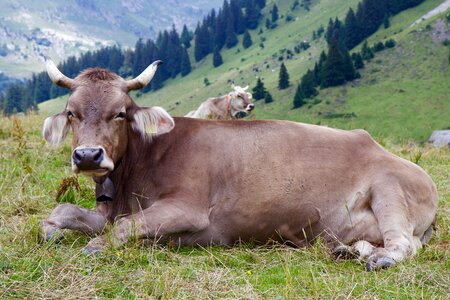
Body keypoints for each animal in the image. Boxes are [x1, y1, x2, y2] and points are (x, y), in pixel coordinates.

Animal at [41, 59, 436, 272]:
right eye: (72, 113)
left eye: (120, 113)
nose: (88, 156)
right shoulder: (111, 210)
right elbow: (63, 211)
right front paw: (51, 230)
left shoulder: (188, 208)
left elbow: (124, 227)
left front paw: (94, 247)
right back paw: (351, 250)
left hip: (390, 189)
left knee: (404, 244)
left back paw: (379, 259)